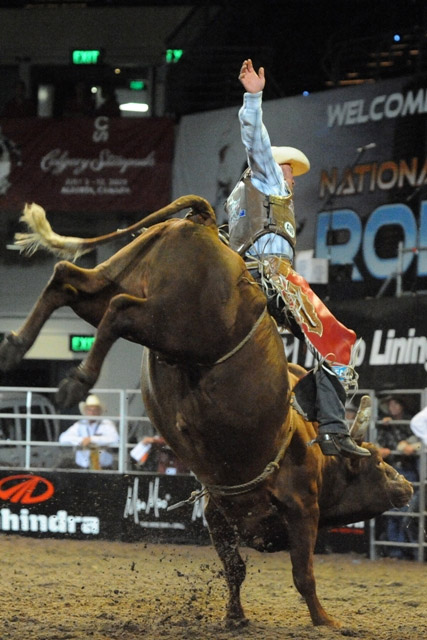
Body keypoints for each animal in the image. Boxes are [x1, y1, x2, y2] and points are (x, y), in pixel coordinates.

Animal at [0, 198, 414, 628]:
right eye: (379, 462)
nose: (407, 484)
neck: (316, 451)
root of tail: (204, 224)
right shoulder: (303, 509)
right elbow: (303, 574)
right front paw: (323, 620)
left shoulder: (218, 512)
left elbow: (235, 569)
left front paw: (235, 617)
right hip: (176, 325)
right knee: (120, 310)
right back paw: (76, 380)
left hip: (119, 284)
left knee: (68, 281)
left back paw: (15, 346)